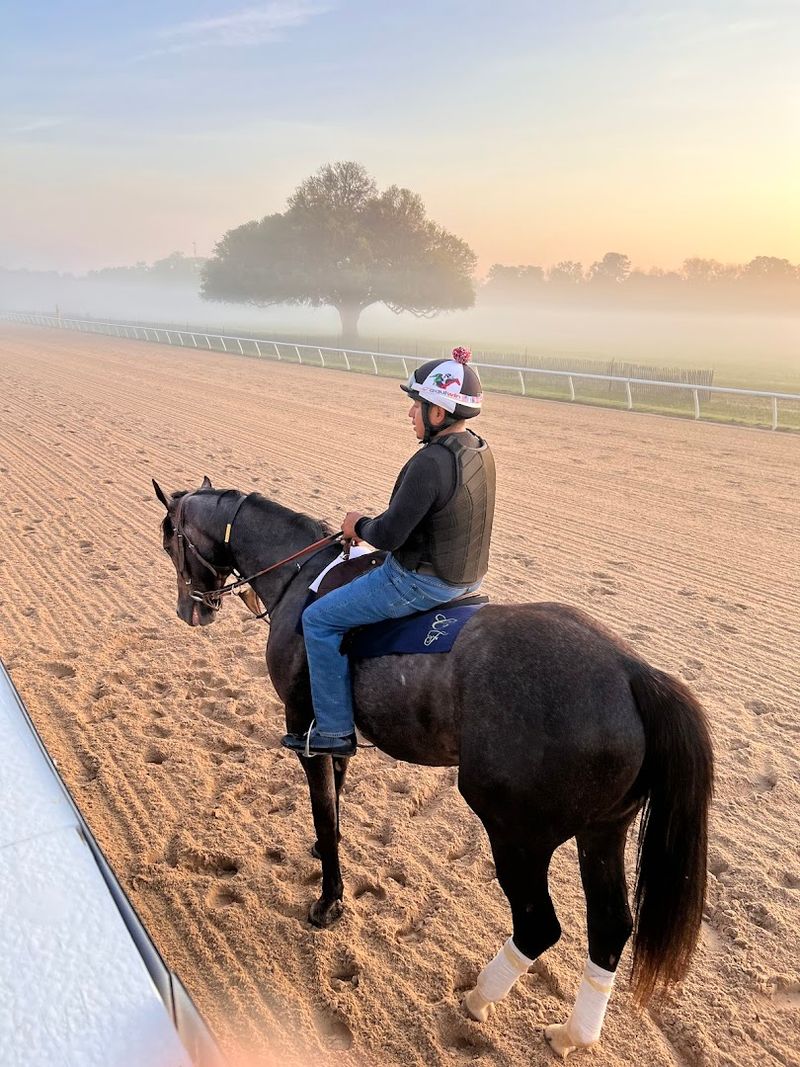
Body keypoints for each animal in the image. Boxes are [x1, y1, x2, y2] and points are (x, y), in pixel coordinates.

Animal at [153, 477, 713, 1057]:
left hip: (518, 835)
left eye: (169, 539)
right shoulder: (335, 728)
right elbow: (336, 794)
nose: (190, 611)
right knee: (610, 927)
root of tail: (632, 672)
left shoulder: (304, 722)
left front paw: (328, 902)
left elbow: (326, 816)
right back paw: (572, 1034)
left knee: (538, 924)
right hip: (602, 832)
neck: (305, 577)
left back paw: (478, 999)